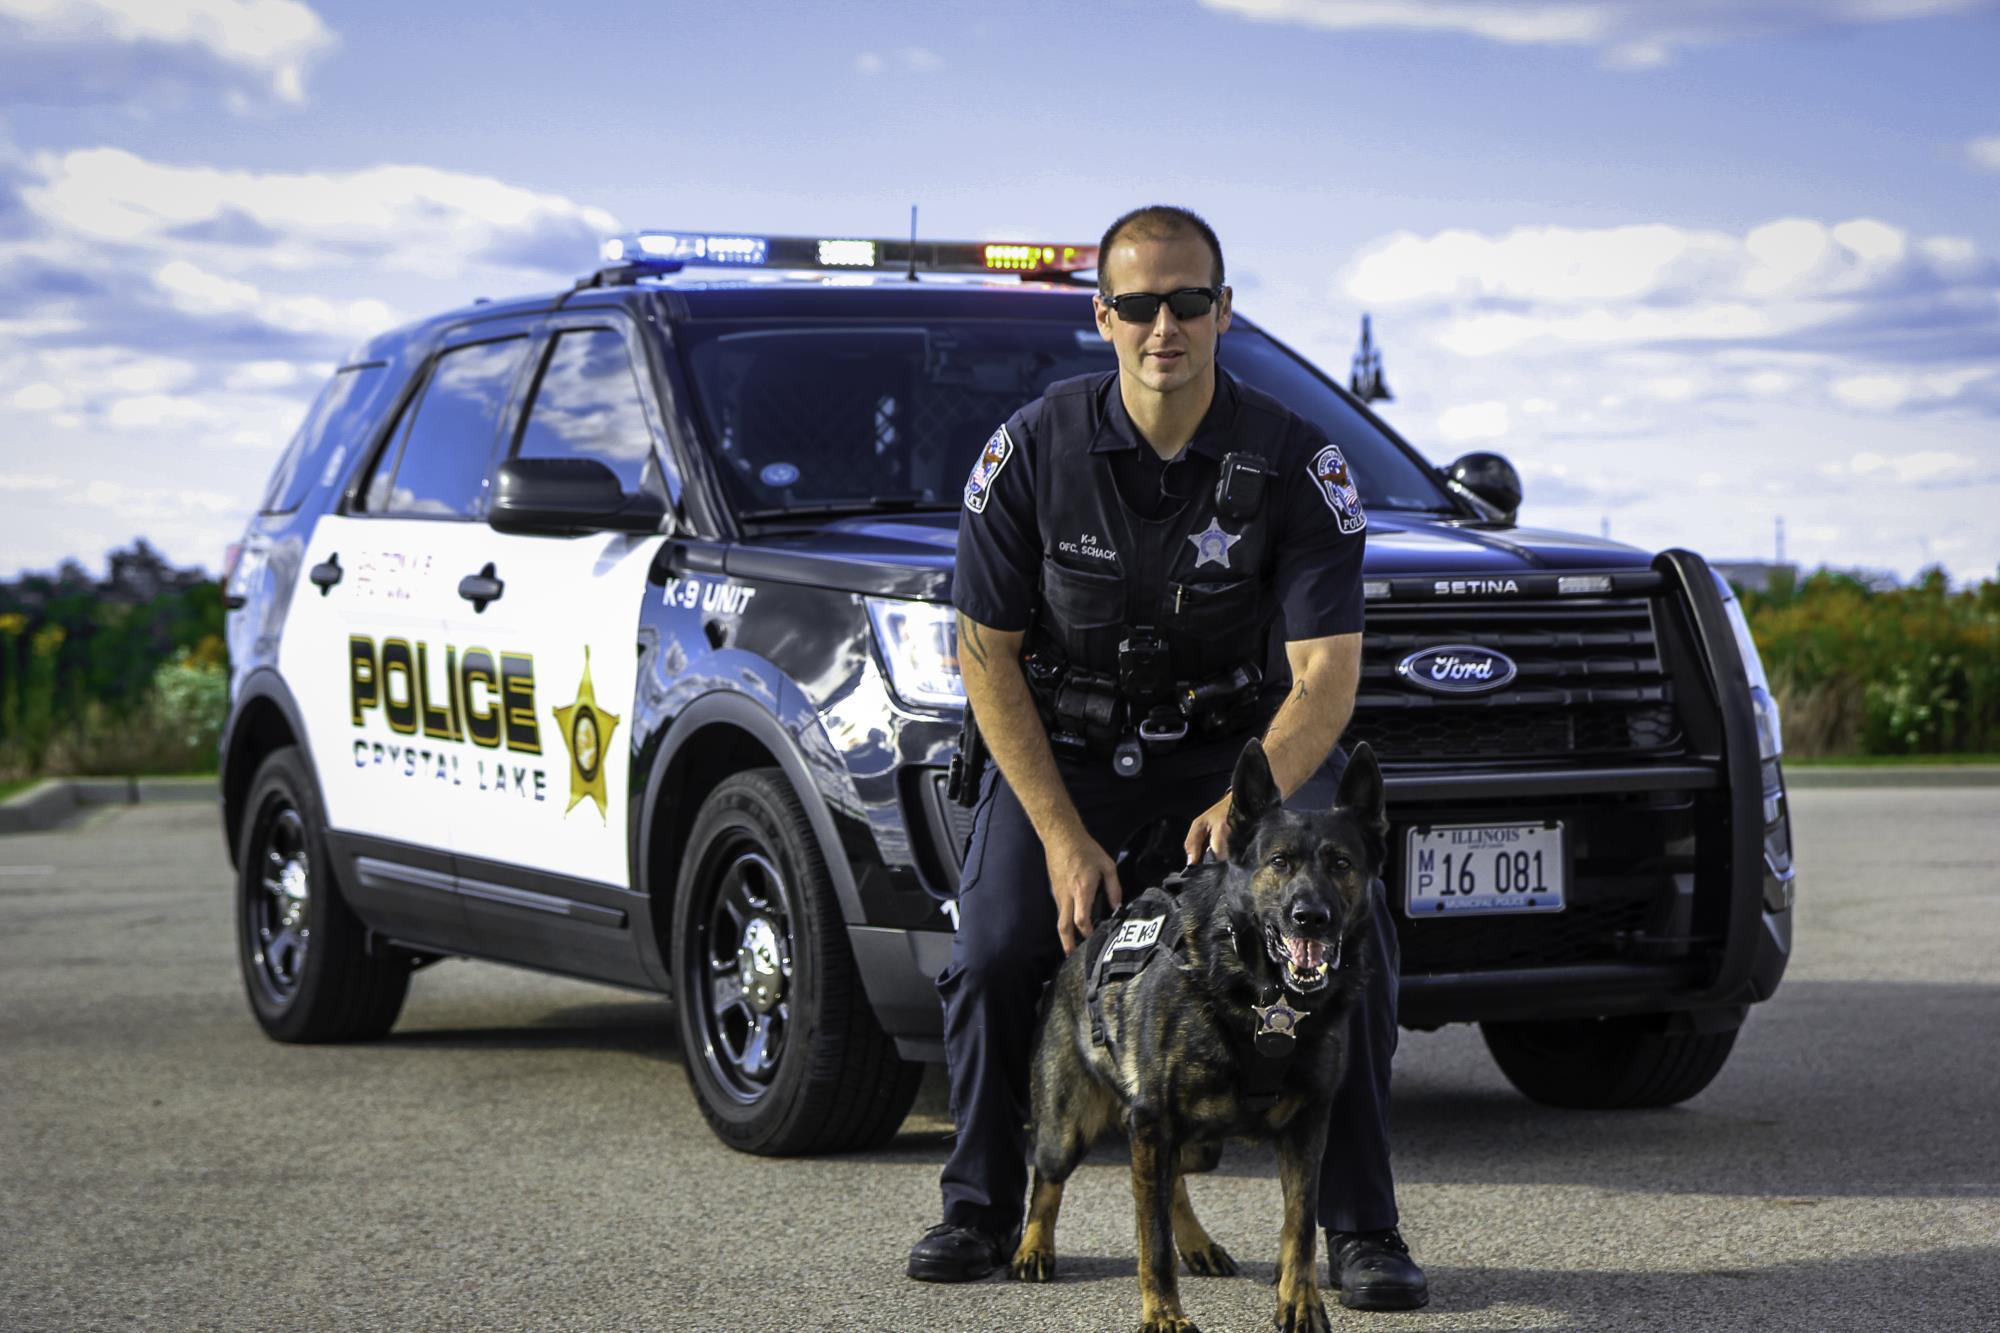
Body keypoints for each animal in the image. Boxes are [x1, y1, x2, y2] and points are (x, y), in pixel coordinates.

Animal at [1008, 736, 1384, 1328]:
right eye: (1280, 862)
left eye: (1341, 864)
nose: (1311, 916)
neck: (1264, 1000)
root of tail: (1077, 953)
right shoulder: (1151, 1120)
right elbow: (1152, 1239)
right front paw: (1163, 1314)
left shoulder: (1306, 1128)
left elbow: (1299, 1225)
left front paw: (1299, 1300)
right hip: (1070, 1128)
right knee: (1048, 1179)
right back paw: (1033, 1246)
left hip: (1196, 1140)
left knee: (1174, 1181)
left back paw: (1198, 1242)